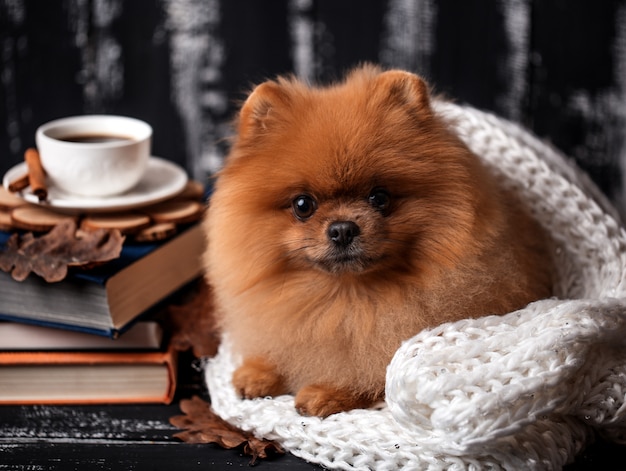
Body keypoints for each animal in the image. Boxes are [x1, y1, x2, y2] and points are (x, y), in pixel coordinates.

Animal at [201, 64, 552, 418]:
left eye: (379, 197)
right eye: (303, 205)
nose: (343, 229)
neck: (347, 299)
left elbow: (366, 370)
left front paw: (329, 391)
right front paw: (259, 371)